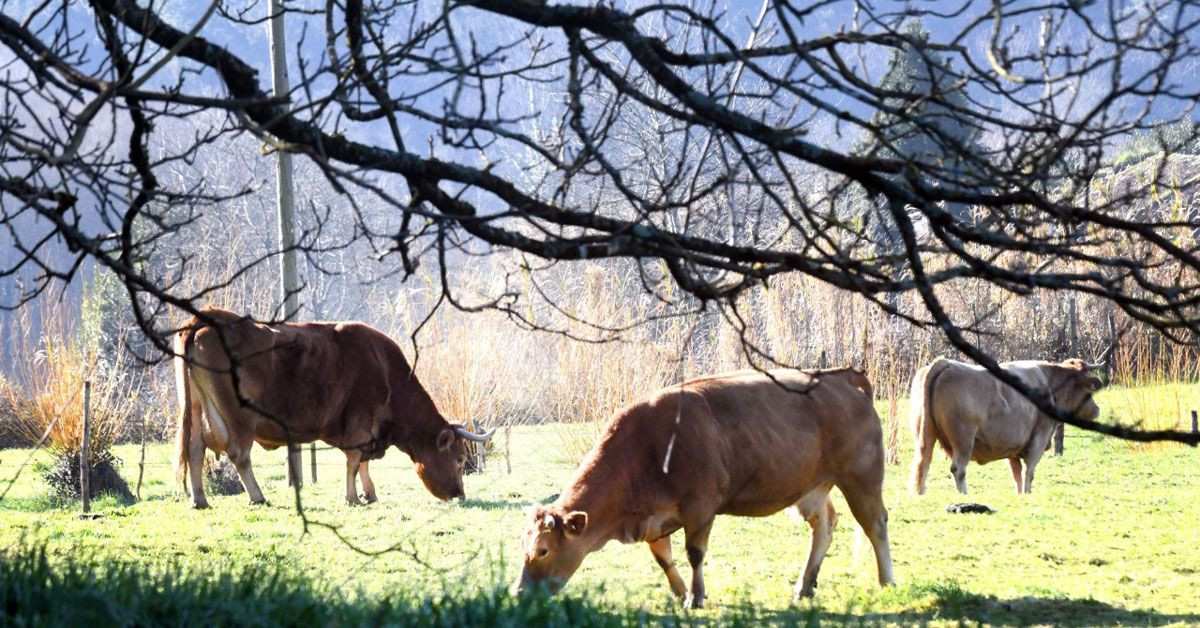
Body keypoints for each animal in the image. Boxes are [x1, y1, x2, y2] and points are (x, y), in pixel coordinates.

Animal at [171, 307, 494, 509]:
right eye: (458, 459)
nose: (460, 494)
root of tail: (206, 317)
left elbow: (363, 463)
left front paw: (369, 493)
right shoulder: (360, 424)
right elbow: (353, 460)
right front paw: (352, 497)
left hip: (196, 410)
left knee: (195, 449)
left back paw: (199, 500)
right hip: (239, 419)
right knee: (239, 454)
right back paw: (257, 496)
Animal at [506, 369, 892, 609]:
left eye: (542, 550)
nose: (518, 592)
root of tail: (841, 377)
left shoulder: (700, 508)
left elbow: (694, 553)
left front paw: (696, 596)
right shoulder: (654, 517)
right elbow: (663, 556)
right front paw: (679, 593)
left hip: (861, 478)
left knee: (875, 523)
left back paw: (886, 580)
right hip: (812, 486)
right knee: (824, 525)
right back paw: (805, 584)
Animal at [907, 357, 1104, 497]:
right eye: (1089, 390)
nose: (1097, 409)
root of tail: (945, 362)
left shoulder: (1013, 448)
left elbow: (1016, 473)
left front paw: (1020, 495)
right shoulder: (1039, 438)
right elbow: (1029, 471)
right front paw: (1027, 494)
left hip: (925, 436)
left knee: (922, 463)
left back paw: (920, 494)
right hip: (964, 440)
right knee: (958, 469)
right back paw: (963, 495)